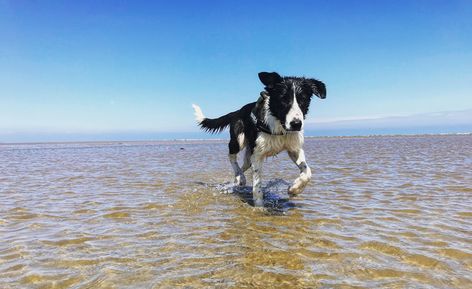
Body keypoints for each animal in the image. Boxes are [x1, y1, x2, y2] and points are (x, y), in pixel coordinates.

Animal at [192, 72, 324, 207]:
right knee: (231, 156)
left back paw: (237, 178)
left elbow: (307, 172)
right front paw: (259, 207)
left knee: (243, 166)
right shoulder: (257, 155)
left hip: (249, 154)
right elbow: (257, 184)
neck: (280, 126)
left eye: (303, 99)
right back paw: (240, 177)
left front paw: (294, 189)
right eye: (283, 99)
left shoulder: (294, 148)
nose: (296, 124)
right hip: (239, 140)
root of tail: (237, 111)